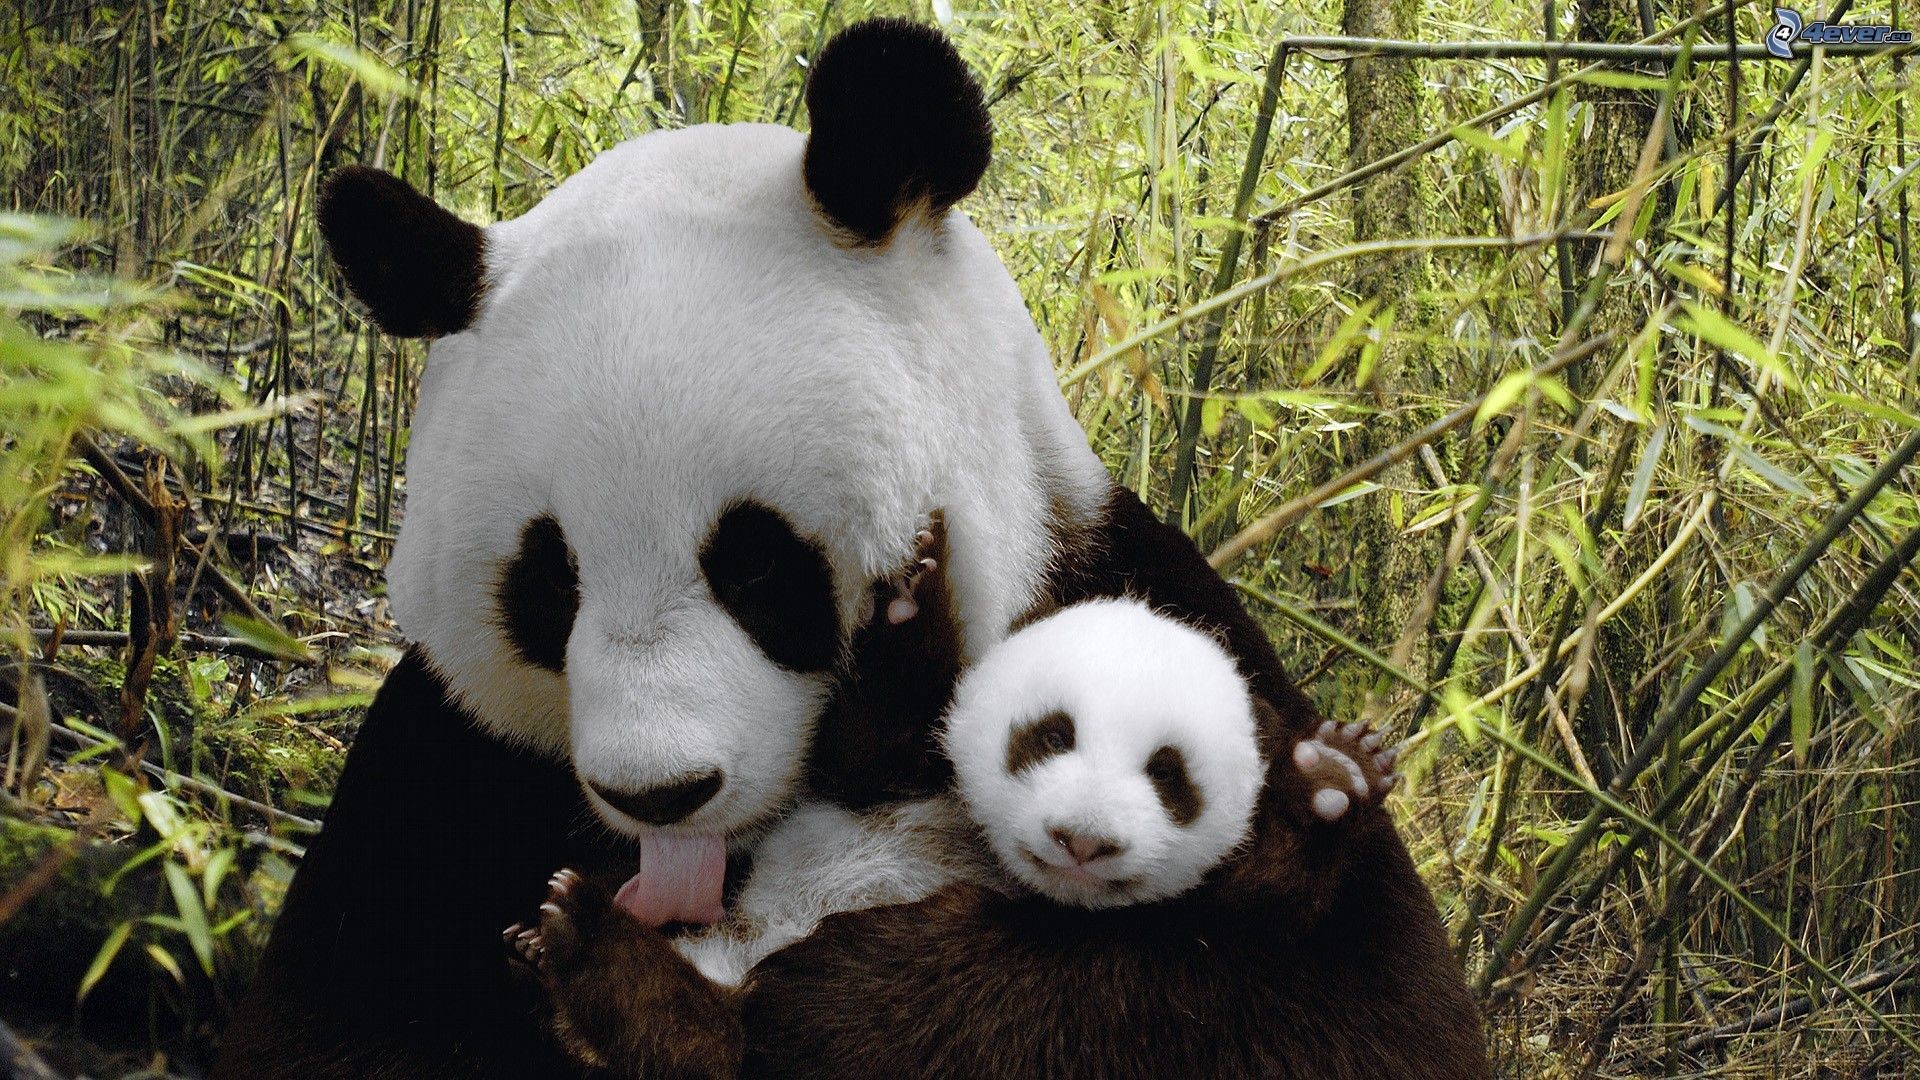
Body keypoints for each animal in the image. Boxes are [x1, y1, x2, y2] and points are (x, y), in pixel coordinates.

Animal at [213, 18, 1486, 1080]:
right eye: (549, 584)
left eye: (757, 565)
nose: (661, 796)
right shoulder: (442, 769)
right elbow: (333, 1024)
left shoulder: (1135, 599)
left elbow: (1338, 1007)